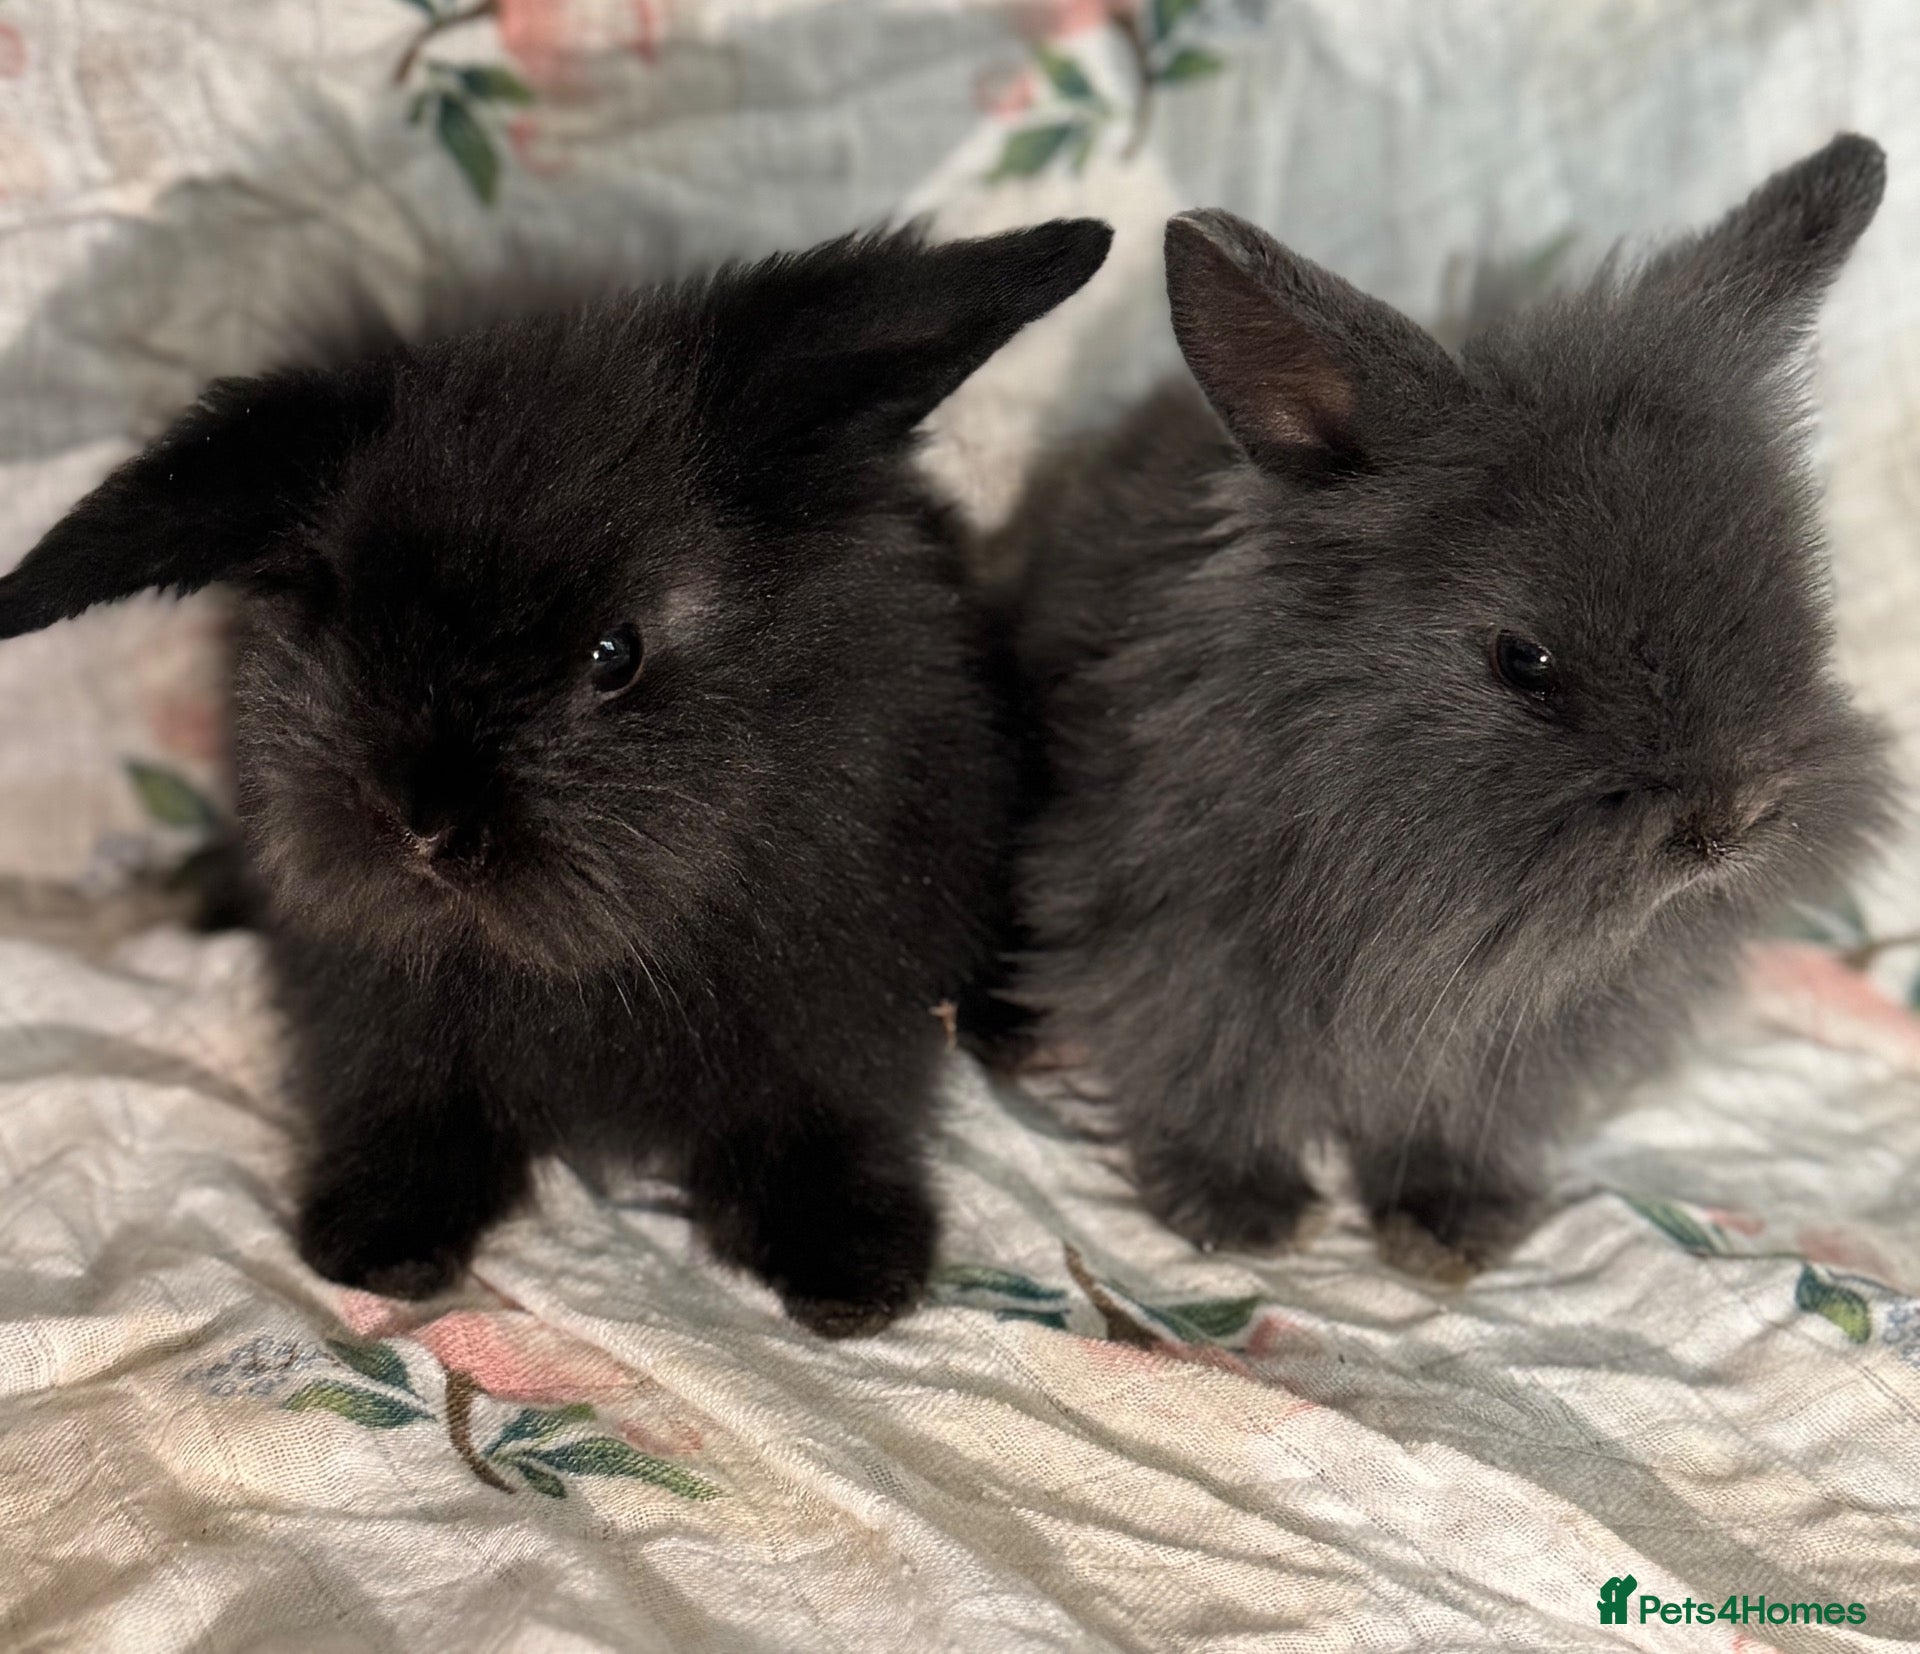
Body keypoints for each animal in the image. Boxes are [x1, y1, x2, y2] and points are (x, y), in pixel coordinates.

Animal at [0, 219, 1114, 1336]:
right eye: (340, 614)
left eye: (616, 652)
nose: (424, 823)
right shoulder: (380, 1013)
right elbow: (403, 1099)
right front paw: (378, 1243)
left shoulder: (839, 999)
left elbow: (829, 1107)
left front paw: (853, 1274)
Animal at [1000, 136, 1894, 1278]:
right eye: (1524, 659)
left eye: (1793, 602)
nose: (1728, 823)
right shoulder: (1179, 956)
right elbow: (1206, 1082)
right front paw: (1241, 1213)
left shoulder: (1503, 1048)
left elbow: (1449, 1122)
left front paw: (1447, 1228)